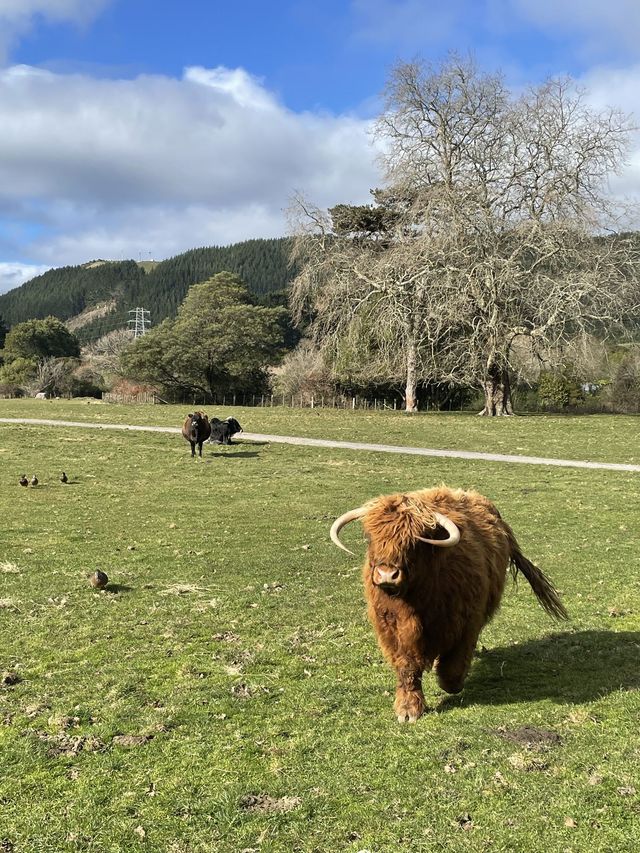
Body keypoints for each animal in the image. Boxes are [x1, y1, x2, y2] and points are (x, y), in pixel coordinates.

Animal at [330, 486, 564, 720]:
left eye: (415, 541)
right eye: (370, 537)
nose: (387, 575)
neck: (416, 602)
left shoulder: (467, 622)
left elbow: (454, 665)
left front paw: (451, 684)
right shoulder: (392, 627)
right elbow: (407, 667)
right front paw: (408, 709)